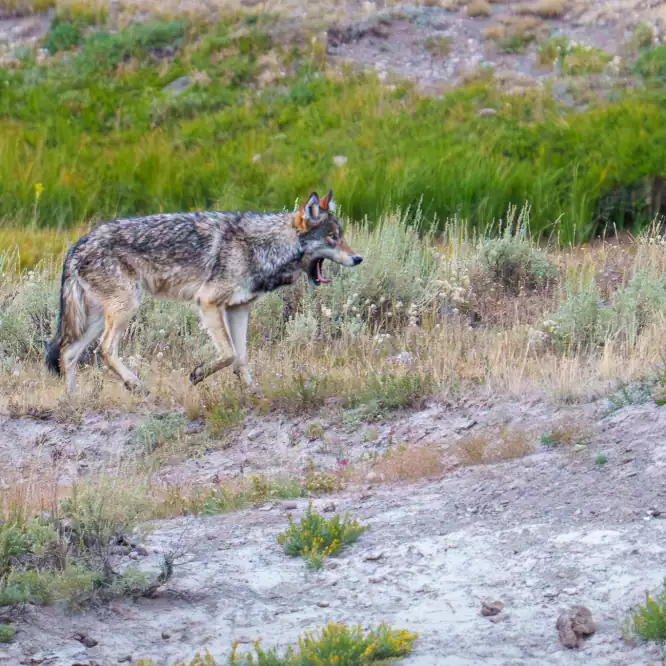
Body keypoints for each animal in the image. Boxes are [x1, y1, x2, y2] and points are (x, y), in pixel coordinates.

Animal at [45, 190, 362, 395]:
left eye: (341, 236)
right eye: (332, 238)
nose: (358, 258)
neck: (263, 246)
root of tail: (75, 246)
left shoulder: (239, 309)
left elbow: (241, 357)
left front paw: (253, 393)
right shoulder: (208, 303)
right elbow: (228, 353)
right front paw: (196, 374)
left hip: (100, 318)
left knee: (68, 353)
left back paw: (72, 401)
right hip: (126, 308)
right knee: (104, 350)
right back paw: (136, 386)